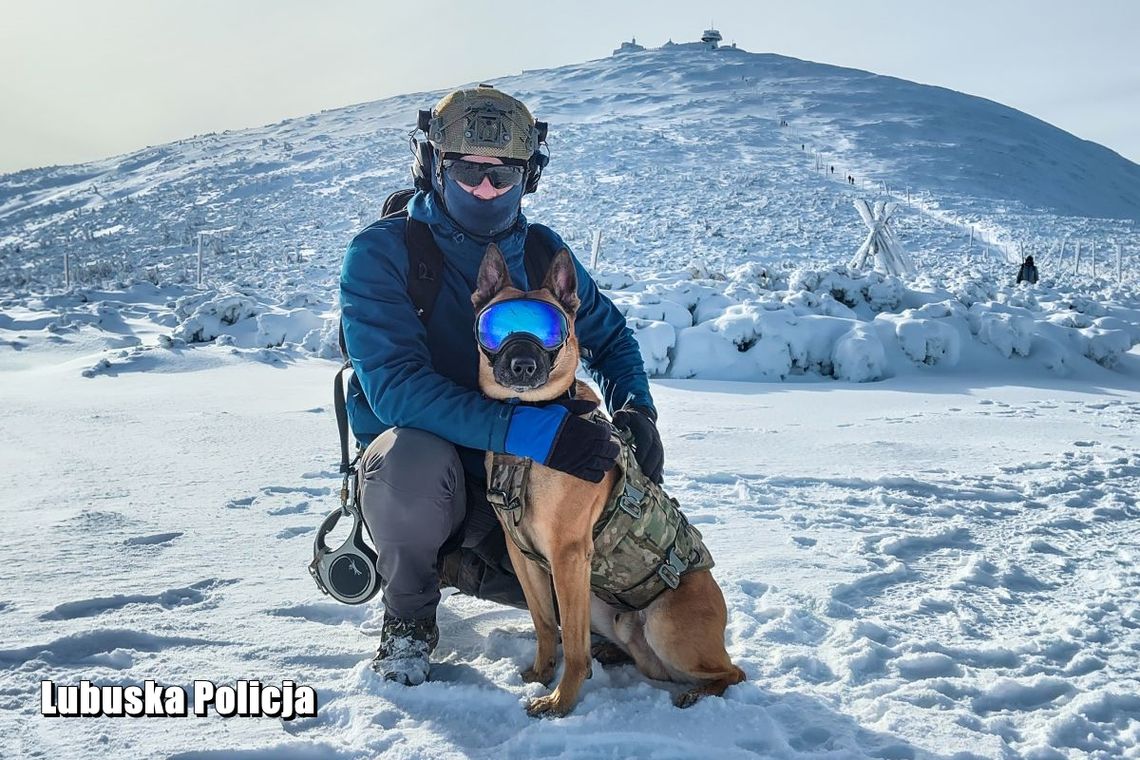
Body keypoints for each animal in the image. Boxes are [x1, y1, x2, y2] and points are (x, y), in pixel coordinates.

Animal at [471, 243, 747, 720]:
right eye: (498, 327)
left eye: (550, 330)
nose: (522, 364)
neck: (534, 424)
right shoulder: (524, 555)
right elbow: (545, 624)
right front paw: (540, 674)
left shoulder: (568, 557)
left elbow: (572, 643)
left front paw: (560, 701)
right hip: (604, 607)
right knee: (643, 660)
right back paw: (614, 652)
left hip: (665, 625)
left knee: (732, 672)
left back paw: (695, 694)